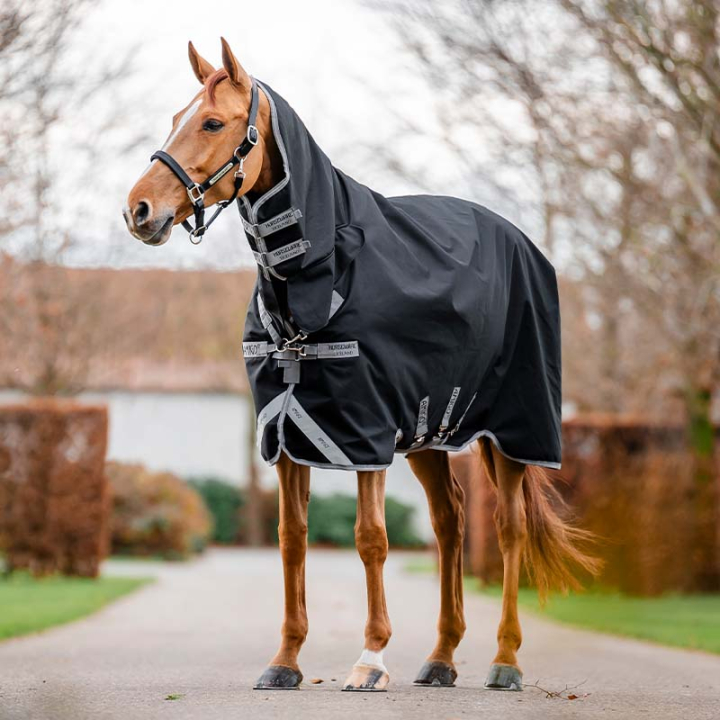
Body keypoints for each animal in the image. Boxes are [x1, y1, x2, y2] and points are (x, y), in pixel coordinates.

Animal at [124, 38, 598, 693]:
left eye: (213, 123)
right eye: (176, 118)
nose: (138, 210)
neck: (319, 276)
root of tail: (522, 243)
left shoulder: (364, 430)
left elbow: (371, 538)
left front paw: (370, 658)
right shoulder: (288, 432)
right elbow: (292, 540)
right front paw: (285, 661)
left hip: (514, 430)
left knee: (507, 529)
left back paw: (505, 660)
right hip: (427, 432)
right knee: (450, 522)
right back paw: (441, 657)